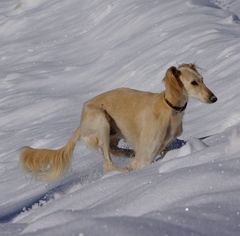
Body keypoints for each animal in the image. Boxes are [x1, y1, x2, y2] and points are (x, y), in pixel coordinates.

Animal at [20, 63, 218, 180]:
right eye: (193, 83)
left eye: (202, 80)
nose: (214, 98)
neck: (168, 108)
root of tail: (80, 122)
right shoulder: (146, 155)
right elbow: (141, 162)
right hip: (101, 119)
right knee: (108, 164)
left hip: (112, 132)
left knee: (114, 151)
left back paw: (128, 155)